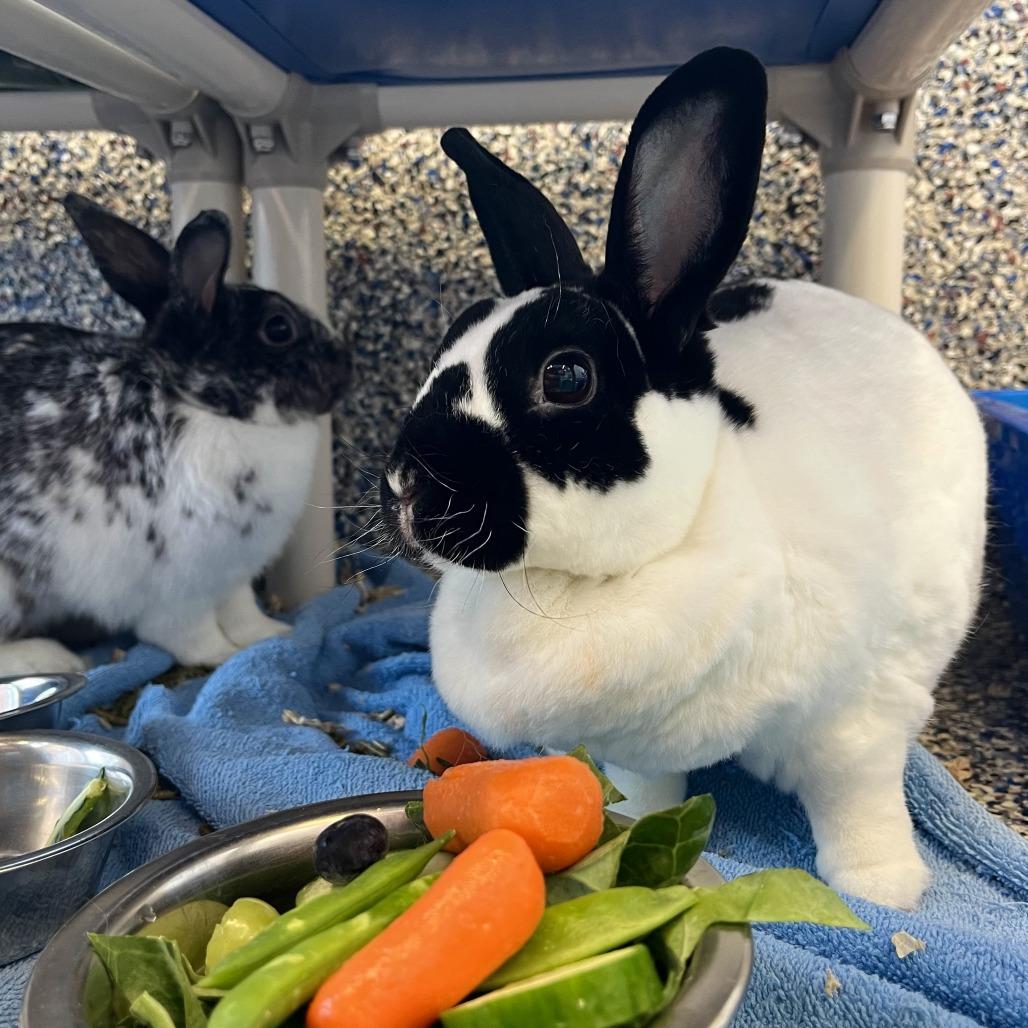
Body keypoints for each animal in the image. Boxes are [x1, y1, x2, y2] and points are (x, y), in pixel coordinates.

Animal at [0, 194, 350, 675]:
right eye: (279, 328)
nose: (346, 371)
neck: (202, 406)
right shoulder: (178, 587)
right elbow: (188, 635)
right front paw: (224, 656)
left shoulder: (232, 574)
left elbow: (243, 612)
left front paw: (271, 634)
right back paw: (51, 657)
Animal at [378, 48, 987, 910]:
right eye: (446, 345)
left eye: (567, 377)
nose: (403, 484)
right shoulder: (640, 747)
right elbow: (648, 791)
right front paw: (629, 828)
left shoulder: (857, 723)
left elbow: (858, 801)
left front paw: (884, 891)